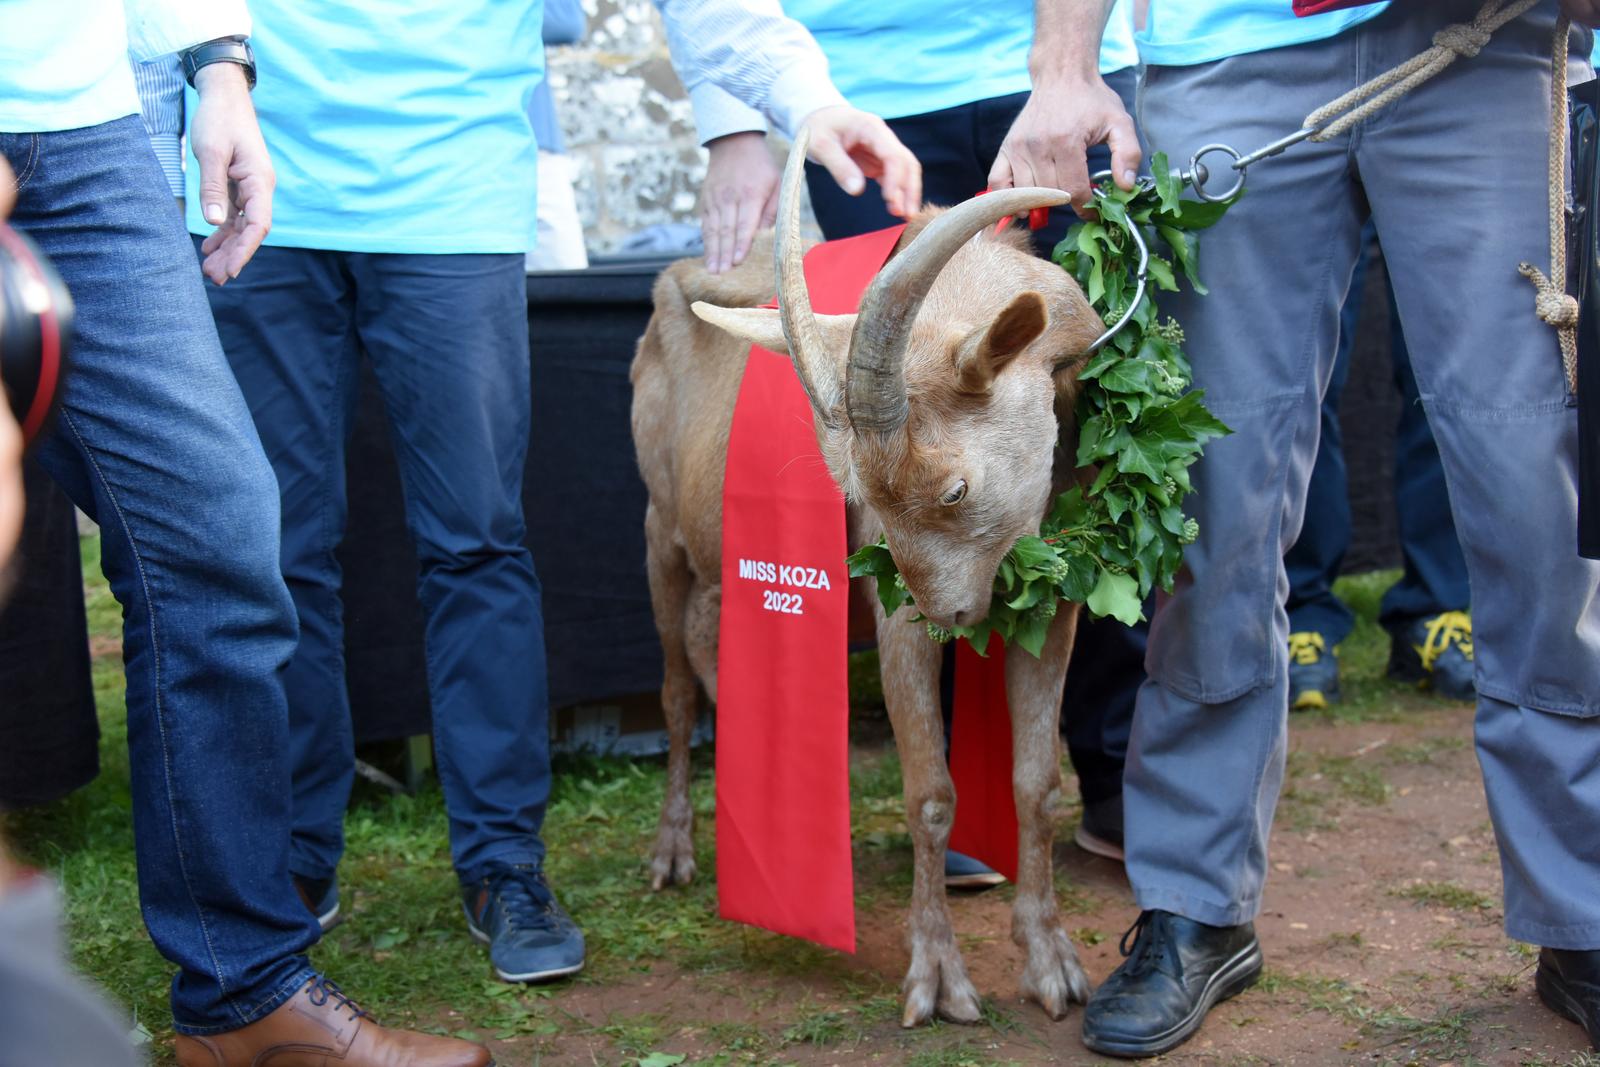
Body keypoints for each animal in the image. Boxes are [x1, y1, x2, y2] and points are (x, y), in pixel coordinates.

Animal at [630, 133, 1107, 1023]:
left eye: (954, 489)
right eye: (856, 496)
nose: (953, 616)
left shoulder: (1055, 600)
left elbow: (1036, 781)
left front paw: (1052, 963)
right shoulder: (893, 616)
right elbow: (930, 793)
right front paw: (938, 978)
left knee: (713, 653)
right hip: (658, 534)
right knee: (675, 690)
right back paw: (673, 850)